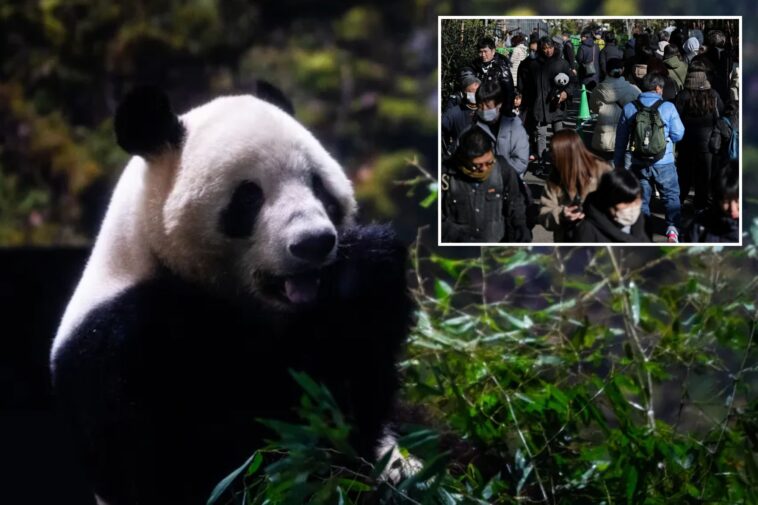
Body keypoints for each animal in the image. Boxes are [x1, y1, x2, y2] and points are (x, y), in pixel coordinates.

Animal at [50, 86, 413, 505]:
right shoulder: (122, 346)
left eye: (318, 186)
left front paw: (368, 268)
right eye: (249, 196)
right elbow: (213, 463)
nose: (313, 242)